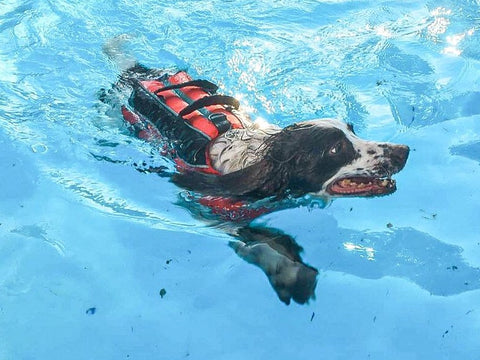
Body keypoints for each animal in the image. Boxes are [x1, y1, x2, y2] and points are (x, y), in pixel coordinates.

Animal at [101, 38, 408, 306]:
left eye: (353, 130)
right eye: (335, 149)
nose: (403, 151)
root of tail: (137, 72)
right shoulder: (217, 212)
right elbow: (266, 240)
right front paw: (292, 275)